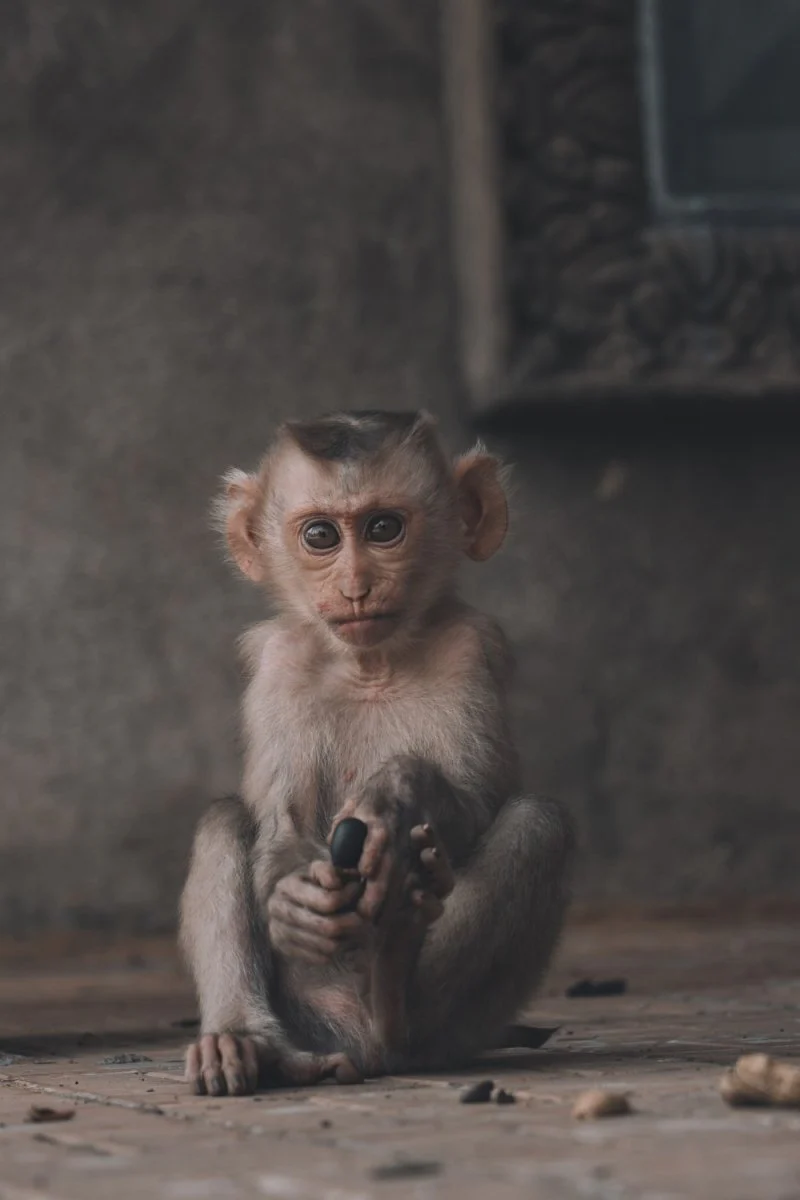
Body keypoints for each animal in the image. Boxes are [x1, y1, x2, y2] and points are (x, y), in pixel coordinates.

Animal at [179, 409, 573, 1095]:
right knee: (225, 819)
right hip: (308, 1008)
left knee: (538, 823)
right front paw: (294, 904)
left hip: (461, 1030)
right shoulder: (279, 663)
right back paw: (249, 1043)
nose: (355, 585)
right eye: (320, 536)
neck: (371, 664)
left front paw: (397, 791)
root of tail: (357, 1046)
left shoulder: (470, 646)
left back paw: (396, 992)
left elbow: (478, 802)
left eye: (384, 528)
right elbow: (280, 824)